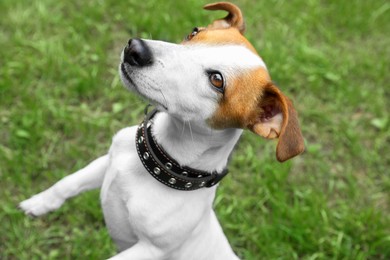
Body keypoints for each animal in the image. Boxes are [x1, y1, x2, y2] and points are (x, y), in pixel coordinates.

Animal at [19, 2, 304, 260]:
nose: (135, 48)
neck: (157, 161)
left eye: (217, 80)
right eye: (194, 32)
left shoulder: (150, 249)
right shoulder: (107, 162)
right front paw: (37, 203)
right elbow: (67, 183)